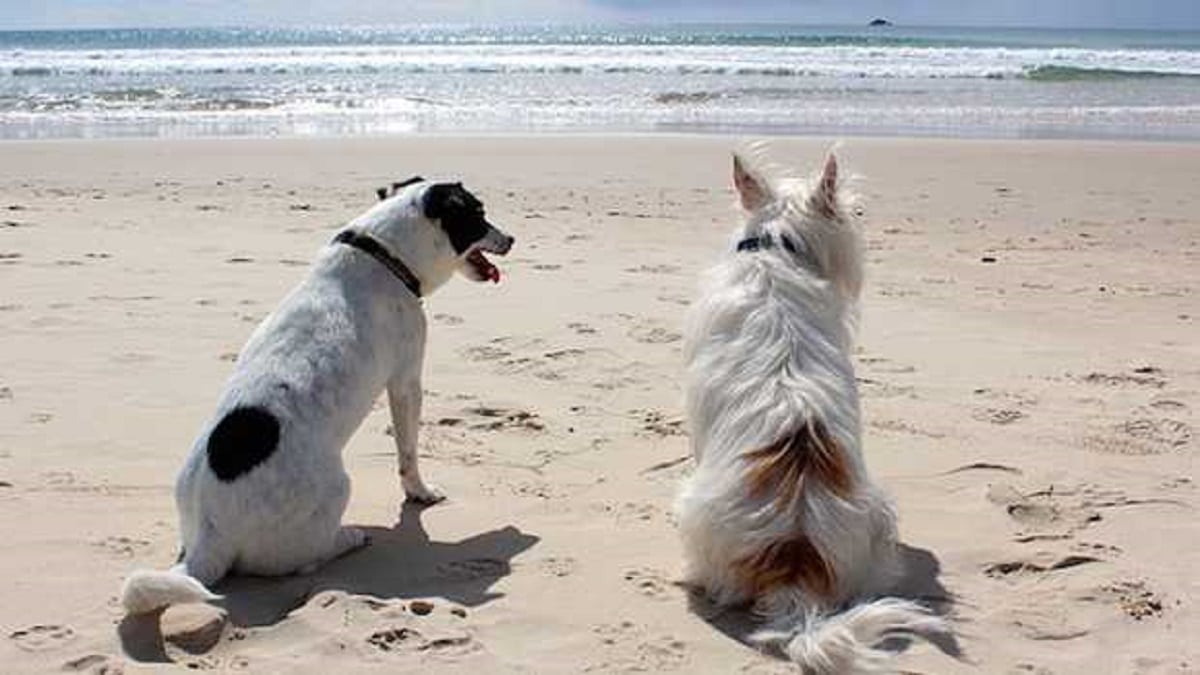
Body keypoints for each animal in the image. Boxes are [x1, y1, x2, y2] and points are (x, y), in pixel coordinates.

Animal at [120, 176, 511, 612]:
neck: (383, 253)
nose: (512, 239)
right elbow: (408, 454)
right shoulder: (406, 382)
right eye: (478, 214)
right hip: (337, 488)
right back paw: (348, 537)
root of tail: (211, 536)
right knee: (305, 560)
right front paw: (421, 493)